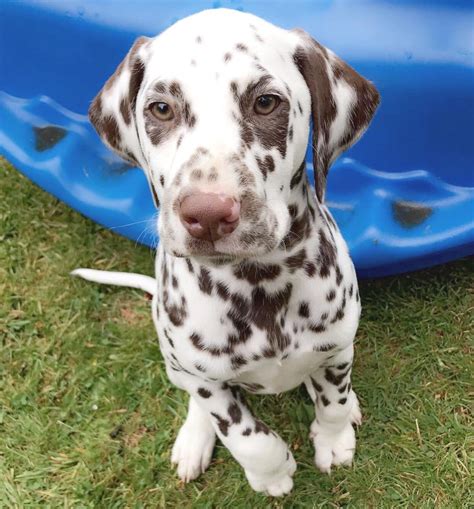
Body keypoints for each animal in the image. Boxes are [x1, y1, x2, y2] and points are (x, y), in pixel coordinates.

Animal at [72, 7, 380, 494]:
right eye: (161, 108)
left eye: (266, 102)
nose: (207, 213)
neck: (260, 284)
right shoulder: (208, 382)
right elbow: (243, 434)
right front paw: (271, 473)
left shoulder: (337, 347)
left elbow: (332, 399)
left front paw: (334, 439)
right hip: (175, 362)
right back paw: (193, 440)